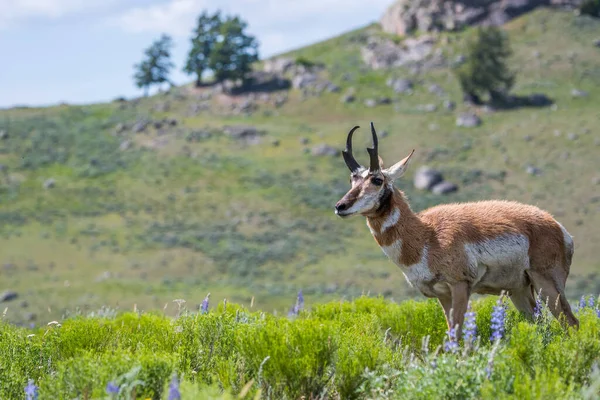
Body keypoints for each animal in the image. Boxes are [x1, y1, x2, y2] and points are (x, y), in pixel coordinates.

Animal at [336, 123, 580, 336]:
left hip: (547, 283)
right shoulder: (442, 294)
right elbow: (451, 332)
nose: (340, 206)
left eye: (377, 180)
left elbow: (459, 333)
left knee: (571, 322)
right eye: (352, 179)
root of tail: (559, 228)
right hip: (519, 290)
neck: (427, 234)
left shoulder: (460, 285)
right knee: (541, 324)